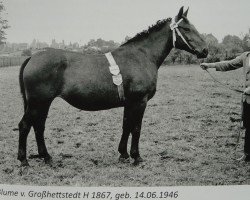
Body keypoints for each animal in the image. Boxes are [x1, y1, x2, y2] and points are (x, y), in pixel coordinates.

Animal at [17, 7, 208, 166]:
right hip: (38, 103)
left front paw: (123, 154)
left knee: (39, 126)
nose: (205, 50)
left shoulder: (129, 103)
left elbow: (126, 125)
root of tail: (33, 57)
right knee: (25, 125)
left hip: (43, 103)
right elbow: (136, 128)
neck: (141, 56)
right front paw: (137, 157)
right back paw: (24, 160)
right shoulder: (140, 101)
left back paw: (46, 157)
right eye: (186, 29)